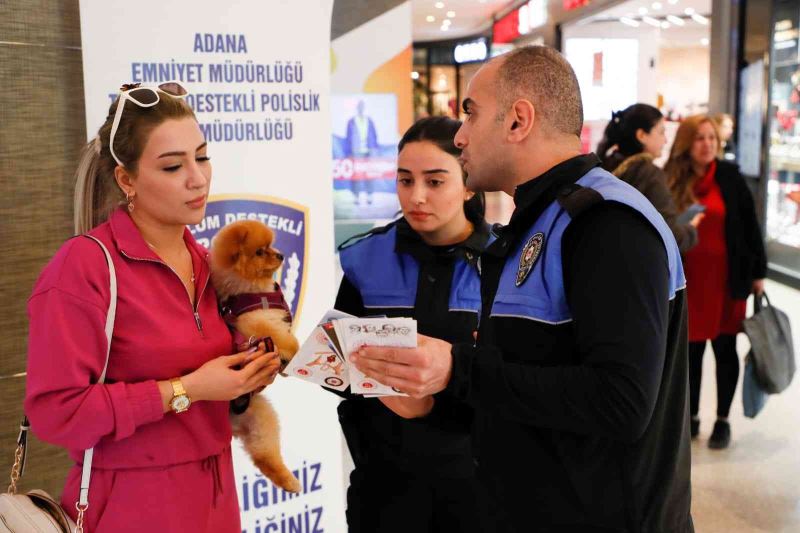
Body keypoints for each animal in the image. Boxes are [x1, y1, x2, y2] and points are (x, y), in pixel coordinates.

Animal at [211, 218, 302, 492]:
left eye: (271, 245)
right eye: (260, 252)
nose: (280, 255)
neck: (255, 289)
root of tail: (233, 423)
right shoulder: (256, 322)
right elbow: (286, 339)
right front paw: (296, 353)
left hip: (261, 419)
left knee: (264, 455)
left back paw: (289, 481)